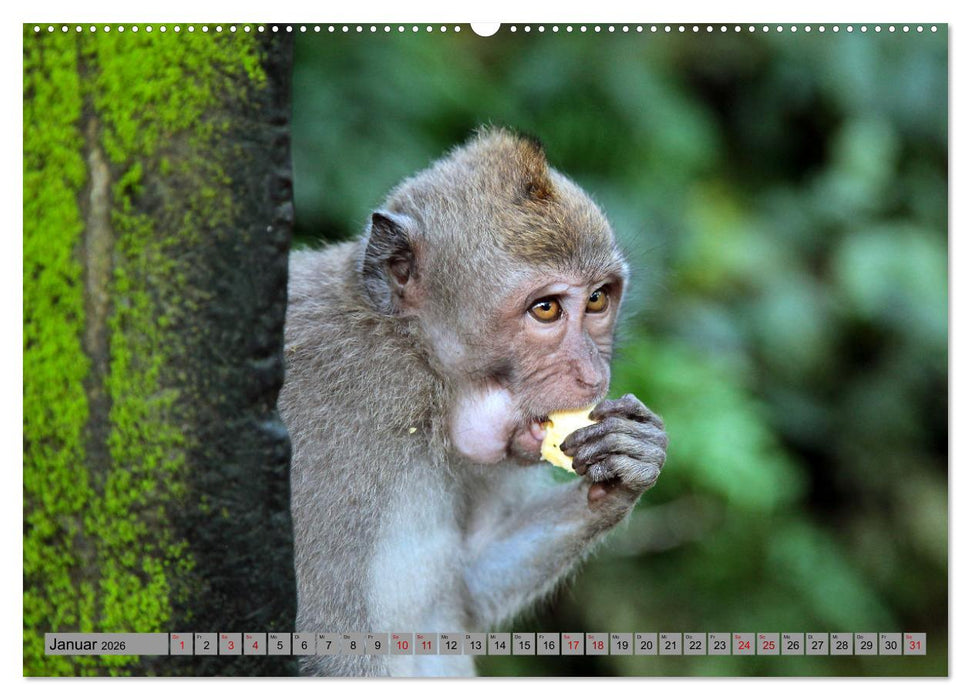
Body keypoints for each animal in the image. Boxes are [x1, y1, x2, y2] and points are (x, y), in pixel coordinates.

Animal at [278, 127, 667, 677]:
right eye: (545, 309)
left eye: (597, 299)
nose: (594, 375)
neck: (425, 372)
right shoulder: (339, 420)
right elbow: (324, 636)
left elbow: (468, 586)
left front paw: (631, 460)